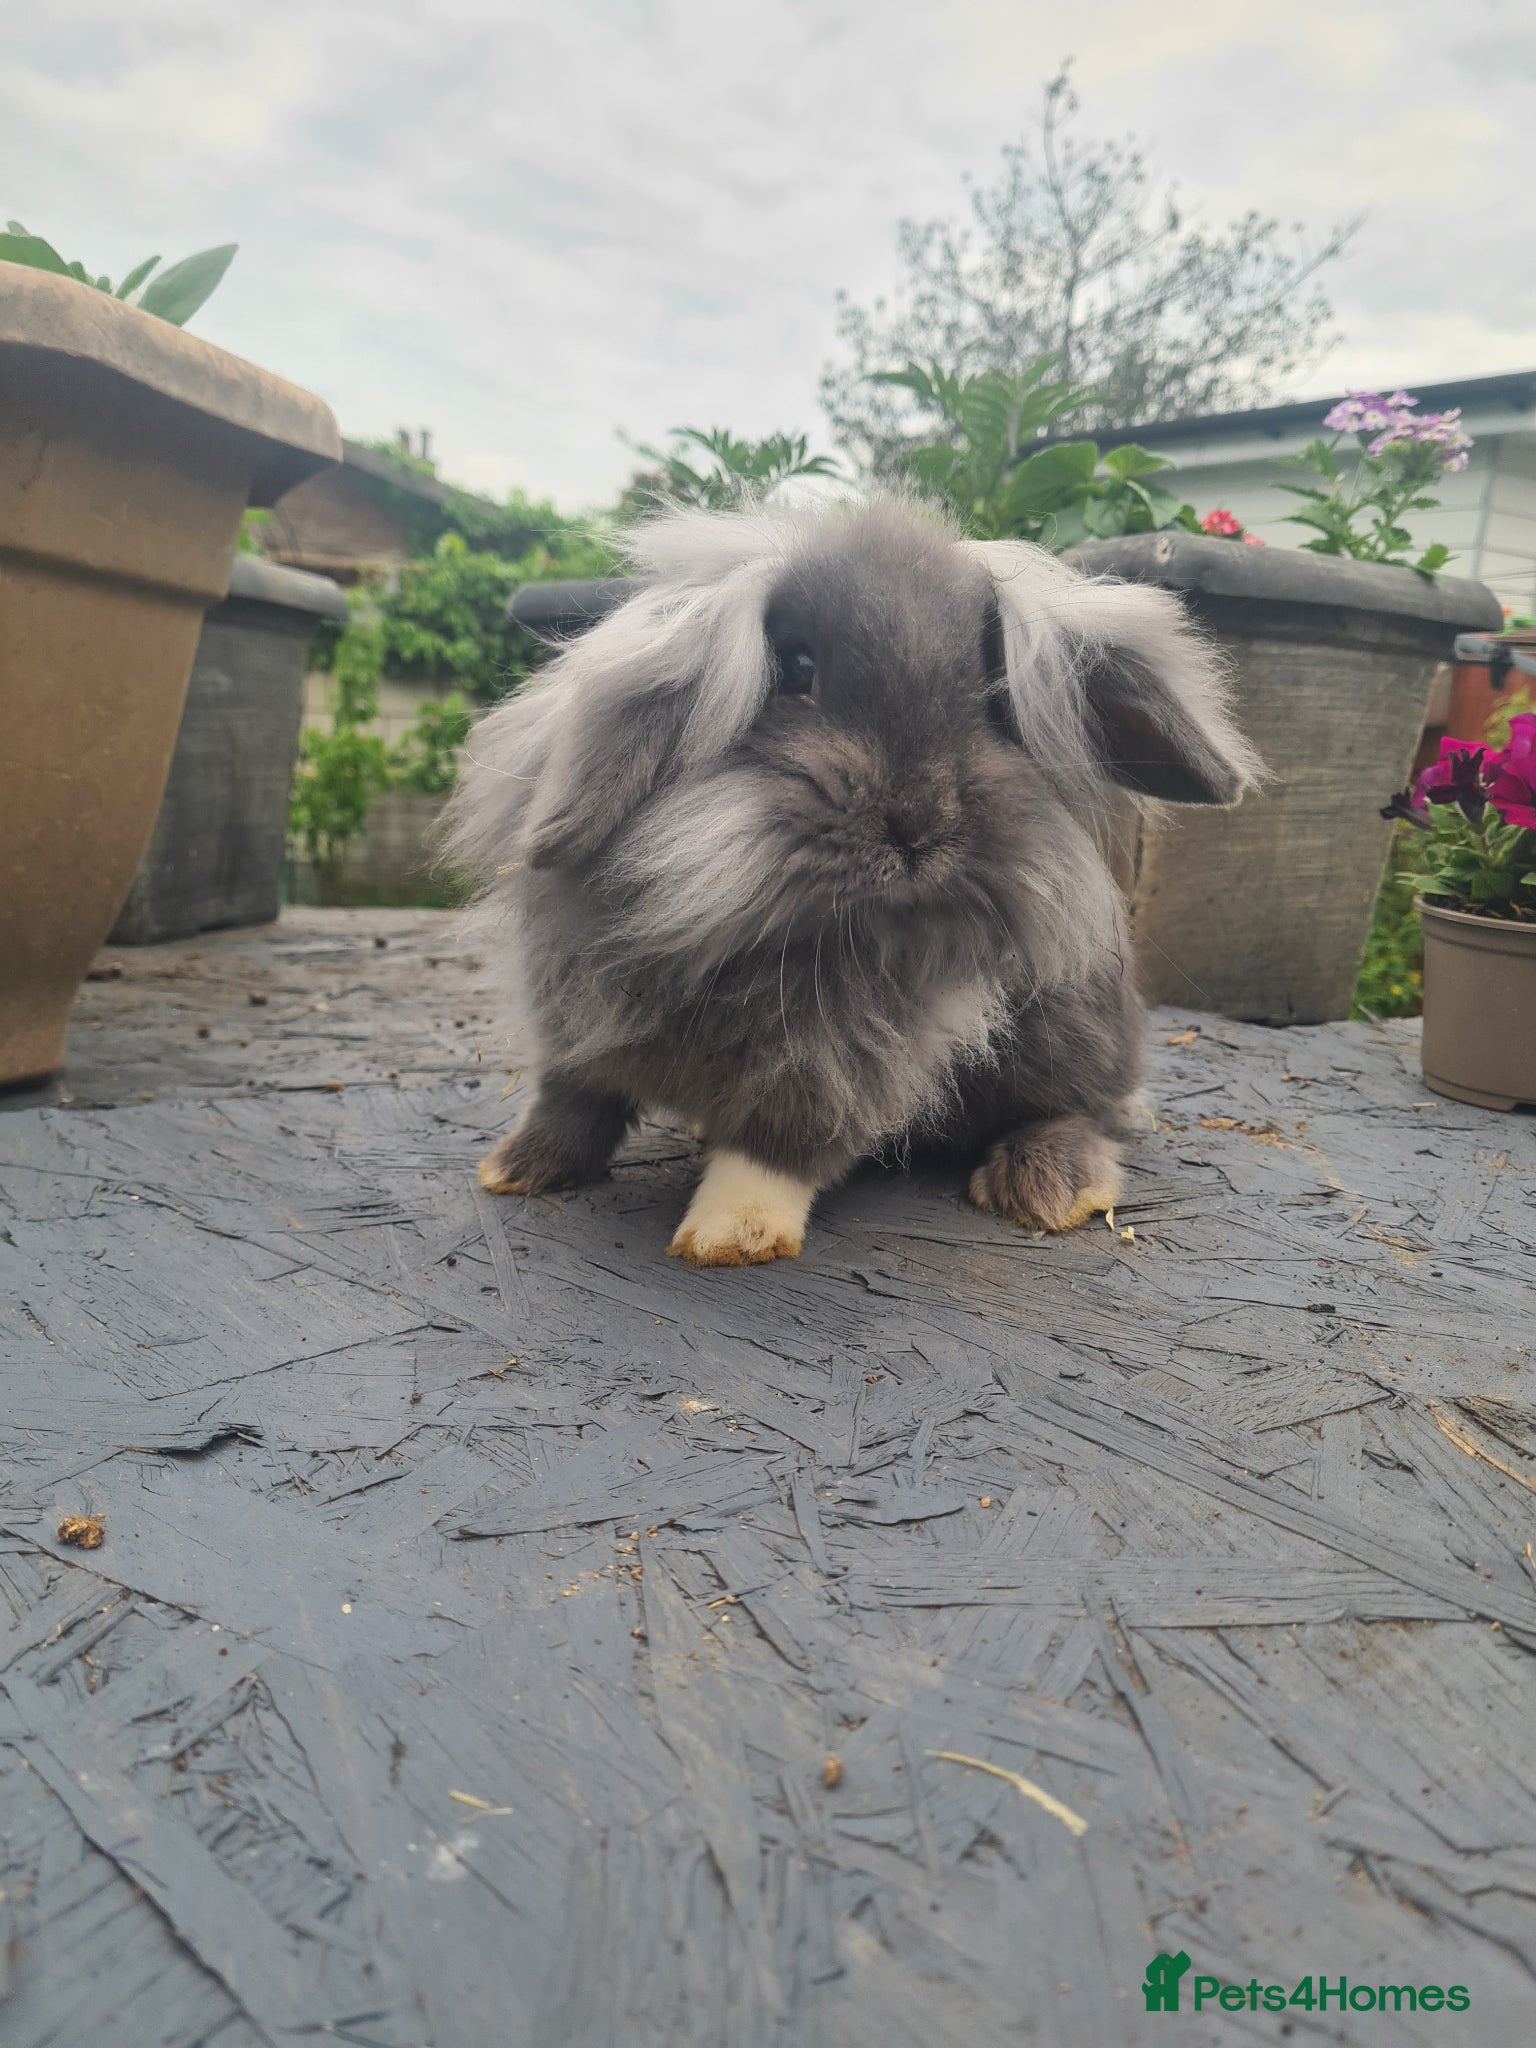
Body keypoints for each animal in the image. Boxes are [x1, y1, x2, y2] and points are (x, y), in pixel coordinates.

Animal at [445, 496, 1259, 1266]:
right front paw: (514, 1169)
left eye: (996, 701)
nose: (917, 826)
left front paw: (729, 1236)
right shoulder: (575, 1019)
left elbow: (777, 1147)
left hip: (1073, 1038)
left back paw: (1048, 1187)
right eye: (797, 670)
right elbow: (571, 1099)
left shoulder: (835, 1063)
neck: (745, 936)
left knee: (1084, 1110)